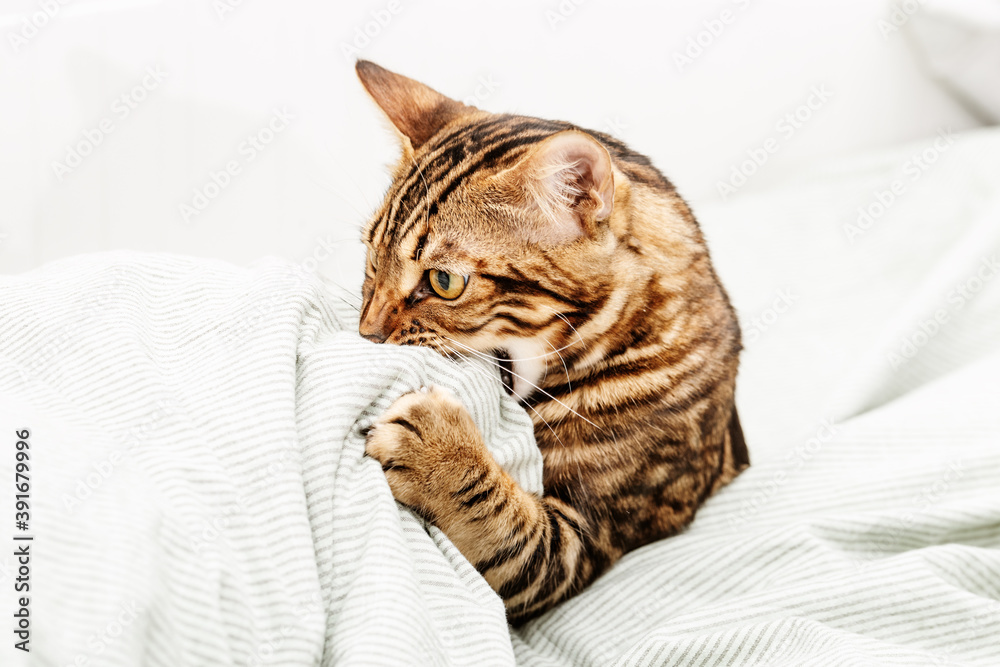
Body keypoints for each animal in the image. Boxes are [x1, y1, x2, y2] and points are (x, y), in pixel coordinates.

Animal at [356, 60, 749, 625]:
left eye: (444, 282)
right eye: (371, 263)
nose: (366, 334)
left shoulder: (581, 542)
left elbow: (503, 523)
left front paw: (440, 450)